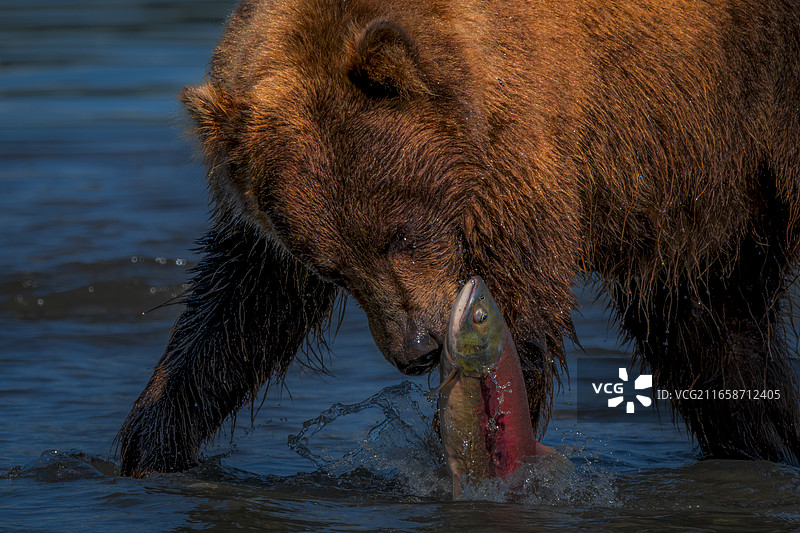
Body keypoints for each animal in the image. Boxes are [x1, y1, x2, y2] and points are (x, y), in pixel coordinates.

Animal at [118, 0, 800, 477]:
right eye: (331, 267)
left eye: (403, 232)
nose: (417, 348)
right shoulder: (265, 236)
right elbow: (236, 314)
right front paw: (150, 443)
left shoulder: (530, 149)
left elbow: (522, 312)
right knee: (714, 333)